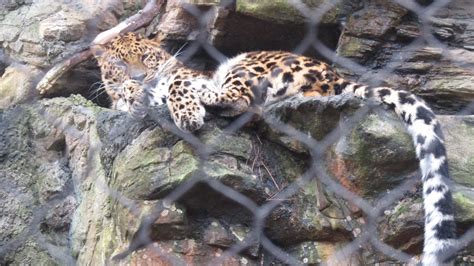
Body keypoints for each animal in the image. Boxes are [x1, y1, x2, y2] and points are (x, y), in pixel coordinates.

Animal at [91, 32, 456, 264]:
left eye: (146, 57)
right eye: (120, 65)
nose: (138, 77)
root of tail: (336, 77)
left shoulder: (185, 75)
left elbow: (178, 83)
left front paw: (184, 109)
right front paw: (133, 95)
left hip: (248, 64)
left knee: (241, 99)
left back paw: (204, 97)